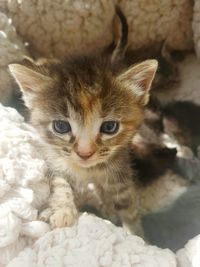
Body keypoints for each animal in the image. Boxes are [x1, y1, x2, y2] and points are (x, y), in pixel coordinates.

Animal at [7, 8, 185, 236]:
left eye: (109, 127)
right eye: (61, 126)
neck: (88, 171)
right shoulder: (55, 159)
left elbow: (127, 205)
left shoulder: (120, 170)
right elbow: (60, 184)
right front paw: (62, 212)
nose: (84, 153)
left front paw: (135, 235)